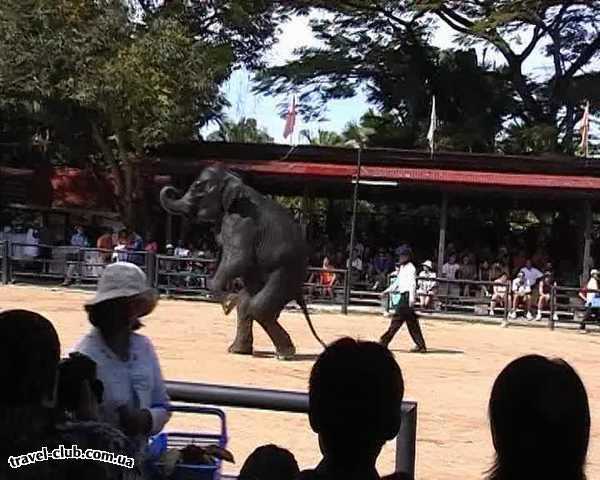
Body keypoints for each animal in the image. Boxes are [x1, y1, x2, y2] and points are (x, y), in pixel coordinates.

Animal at [159, 163, 326, 358]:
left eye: (197, 187)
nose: (172, 187)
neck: (235, 182)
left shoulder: (241, 221)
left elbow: (239, 259)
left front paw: (228, 303)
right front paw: (230, 300)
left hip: (286, 273)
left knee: (258, 307)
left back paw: (284, 354)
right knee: (248, 306)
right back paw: (239, 350)